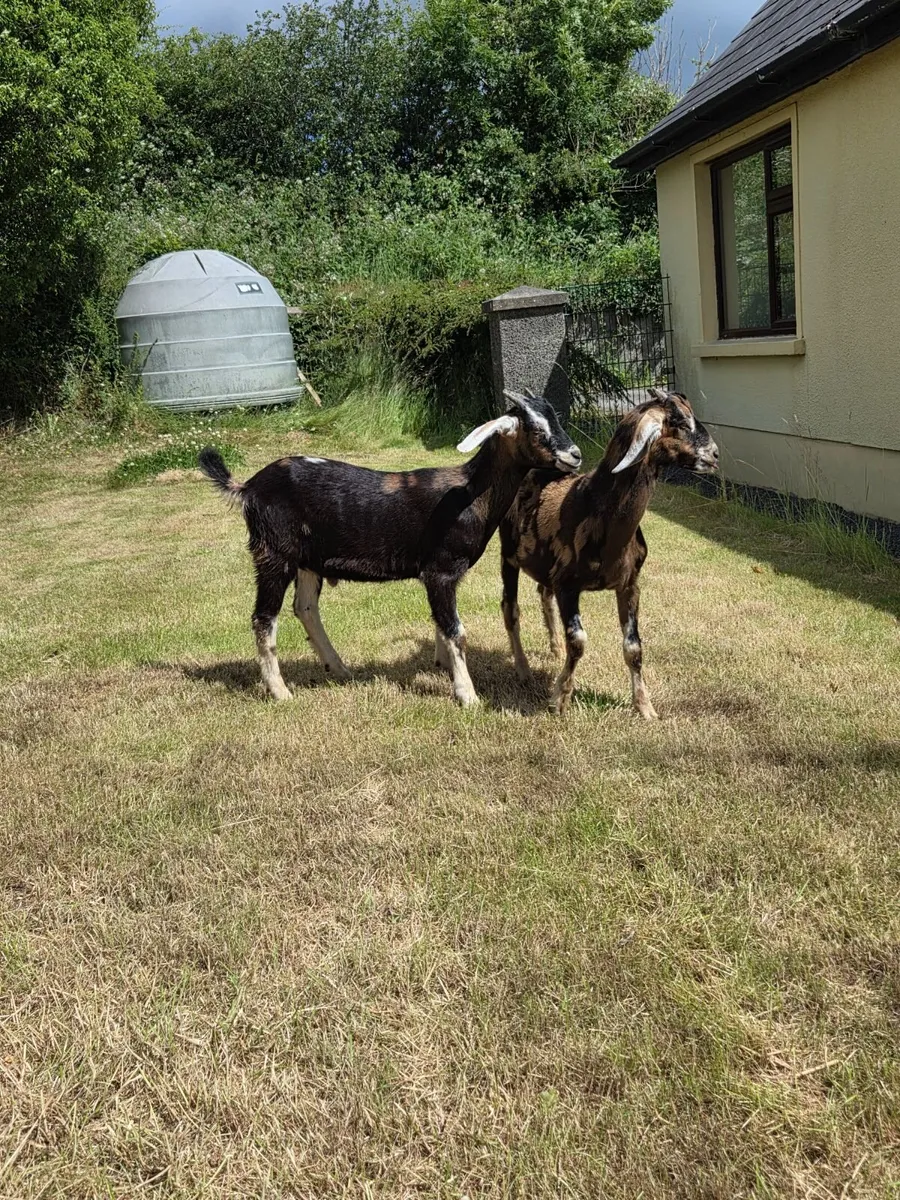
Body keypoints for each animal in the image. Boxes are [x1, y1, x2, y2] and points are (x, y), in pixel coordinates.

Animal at [199, 391, 581, 707]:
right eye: (535, 429)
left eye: (556, 418)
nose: (574, 455)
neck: (470, 493)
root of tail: (248, 487)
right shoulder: (440, 570)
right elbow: (456, 631)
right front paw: (467, 695)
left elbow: (442, 623)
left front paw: (443, 667)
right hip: (273, 553)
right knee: (264, 618)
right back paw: (280, 691)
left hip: (307, 560)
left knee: (304, 608)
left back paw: (340, 669)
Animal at [499, 388, 719, 717]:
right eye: (679, 423)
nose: (715, 454)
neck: (593, 505)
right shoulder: (567, 585)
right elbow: (578, 641)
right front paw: (560, 698)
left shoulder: (629, 584)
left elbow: (634, 647)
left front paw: (645, 707)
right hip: (508, 556)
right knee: (510, 609)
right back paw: (523, 669)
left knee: (542, 593)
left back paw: (554, 649)